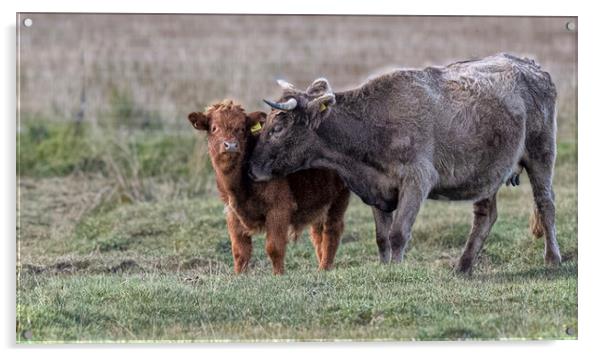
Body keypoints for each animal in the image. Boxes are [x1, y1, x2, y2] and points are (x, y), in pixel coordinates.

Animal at [185, 101, 350, 274]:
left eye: (242, 128)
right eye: (214, 128)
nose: (230, 145)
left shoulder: (278, 208)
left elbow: (274, 247)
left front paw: (279, 274)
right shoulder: (231, 212)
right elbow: (240, 251)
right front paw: (239, 275)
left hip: (339, 198)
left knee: (332, 230)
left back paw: (325, 267)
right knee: (318, 234)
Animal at [247, 52, 556, 272]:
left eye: (278, 128)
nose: (251, 169)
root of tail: (531, 66)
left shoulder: (417, 180)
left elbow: (398, 233)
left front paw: (396, 271)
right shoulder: (377, 188)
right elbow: (382, 237)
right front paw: (385, 268)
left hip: (541, 153)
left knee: (545, 203)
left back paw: (552, 258)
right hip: (488, 171)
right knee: (485, 216)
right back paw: (463, 267)